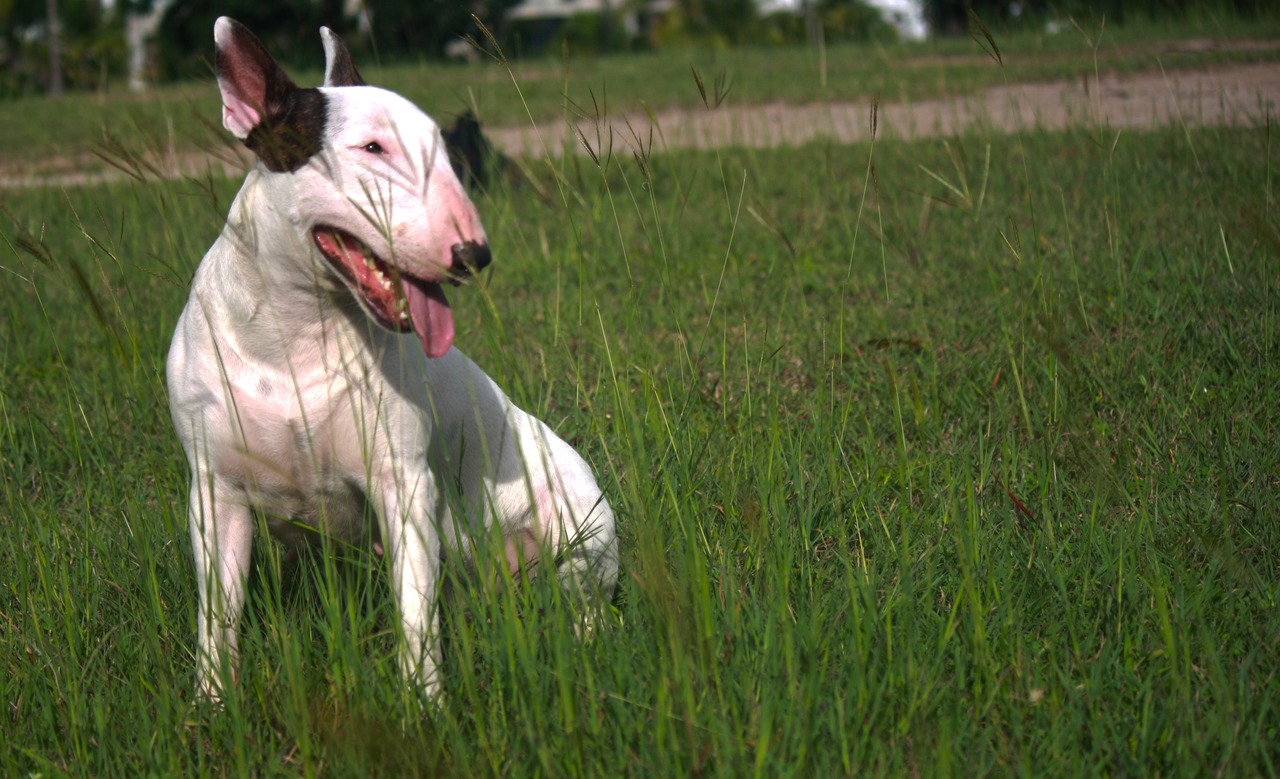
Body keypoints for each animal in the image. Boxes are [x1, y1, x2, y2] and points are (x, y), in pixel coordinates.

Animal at [167, 16, 616, 700]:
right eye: (372, 148)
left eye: (440, 148)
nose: (474, 254)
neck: (296, 333)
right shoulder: (215, 495)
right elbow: (218, 617)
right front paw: (213, 705)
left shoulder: (402, 483)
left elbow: (414, 614)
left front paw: (424, 705)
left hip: (583, 528)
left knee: (583, 603)